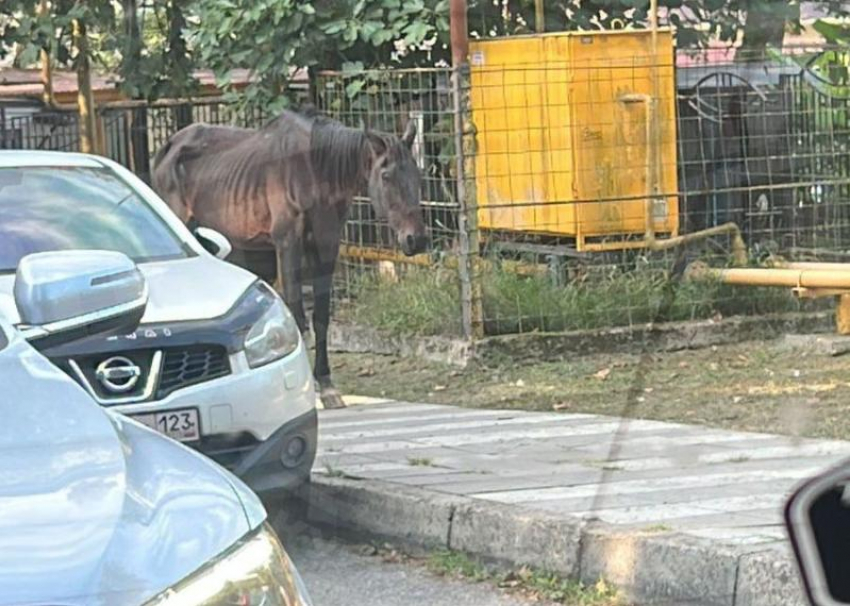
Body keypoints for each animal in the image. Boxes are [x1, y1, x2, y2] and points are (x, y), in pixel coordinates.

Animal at [152, 111, 428, 410]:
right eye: (386, 176)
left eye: (417, 173)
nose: (416, 239)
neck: (316, 171)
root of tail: (167, 147)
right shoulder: (288, 243)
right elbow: (296, 314)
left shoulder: (326, 244)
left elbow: (321, 317)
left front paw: (326, 385)